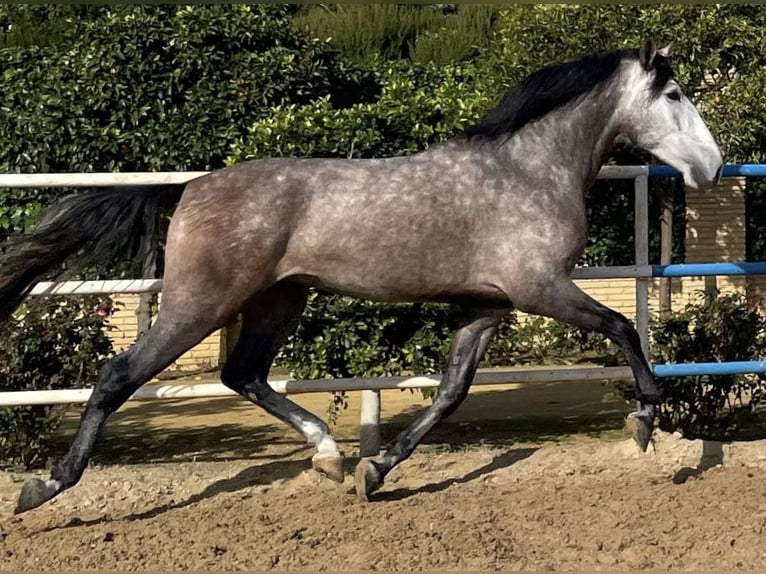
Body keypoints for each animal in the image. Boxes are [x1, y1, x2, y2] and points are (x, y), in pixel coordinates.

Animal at [2, 38, 723, 514]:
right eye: (674, 94)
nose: (713, 166)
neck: (527, 170)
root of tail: (189, 188)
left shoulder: (486, 307)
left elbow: (450, 394)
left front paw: (373, 470)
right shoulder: (538, 288)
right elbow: (623, 327)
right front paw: (643, 420)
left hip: (278, 301)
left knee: (242, 374)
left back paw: (328, 455)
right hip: (199, 303)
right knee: (118, 376)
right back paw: (44, 486)